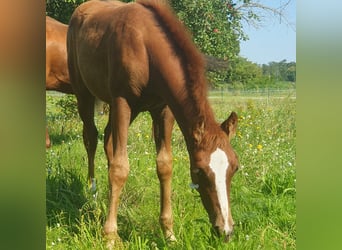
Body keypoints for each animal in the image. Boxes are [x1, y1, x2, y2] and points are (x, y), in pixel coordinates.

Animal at [67, 0, 240, 242]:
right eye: (199, 171)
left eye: (235, 168)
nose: (225, 231)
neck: (146, 46)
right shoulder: (122, 101)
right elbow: (121, 167)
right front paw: (110, 236)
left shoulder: (163, 109)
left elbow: (164, 165)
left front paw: (169, 233)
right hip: (84, 92)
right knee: (91, 137)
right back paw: (92, 193)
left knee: (108, 139)